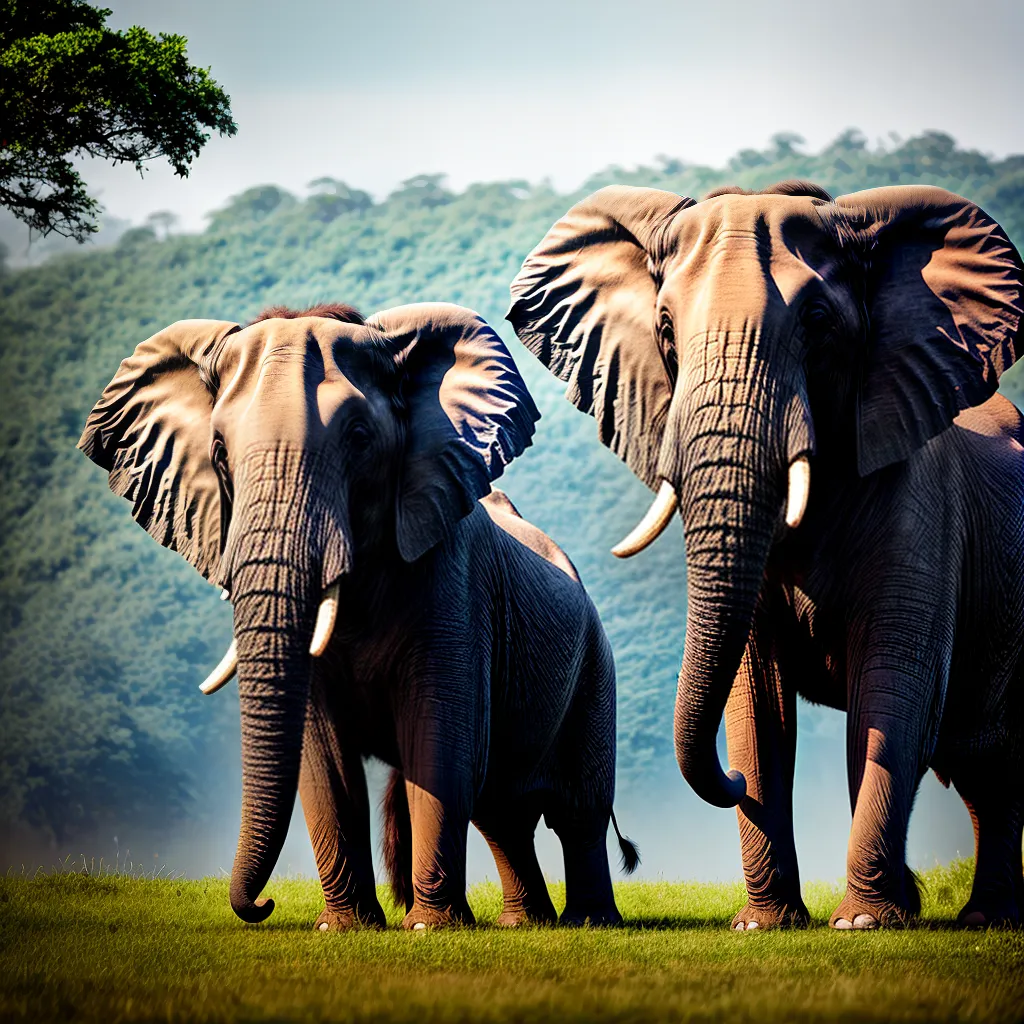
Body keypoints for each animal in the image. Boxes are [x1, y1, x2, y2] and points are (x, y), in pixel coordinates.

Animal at [79, 301, 637, 930]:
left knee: (576, 809)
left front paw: (428, 930)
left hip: (595, 667)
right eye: (218, 451)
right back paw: (526, 924)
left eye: (360, 438)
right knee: (502, 814)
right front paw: (344, 928)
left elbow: (439, 743)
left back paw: (589, 922)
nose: (264, 905)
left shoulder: (454, 585)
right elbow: (324, 758)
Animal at [508, 181, 1024, 930]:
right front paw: (766, 923)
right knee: (985, 770)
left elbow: (892, 691)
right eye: (665, 328)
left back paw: (982, 920)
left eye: (817, 321)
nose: (731, 780)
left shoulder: (922, 506)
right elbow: (758, 700)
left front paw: (864, 923)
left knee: (991, 761)